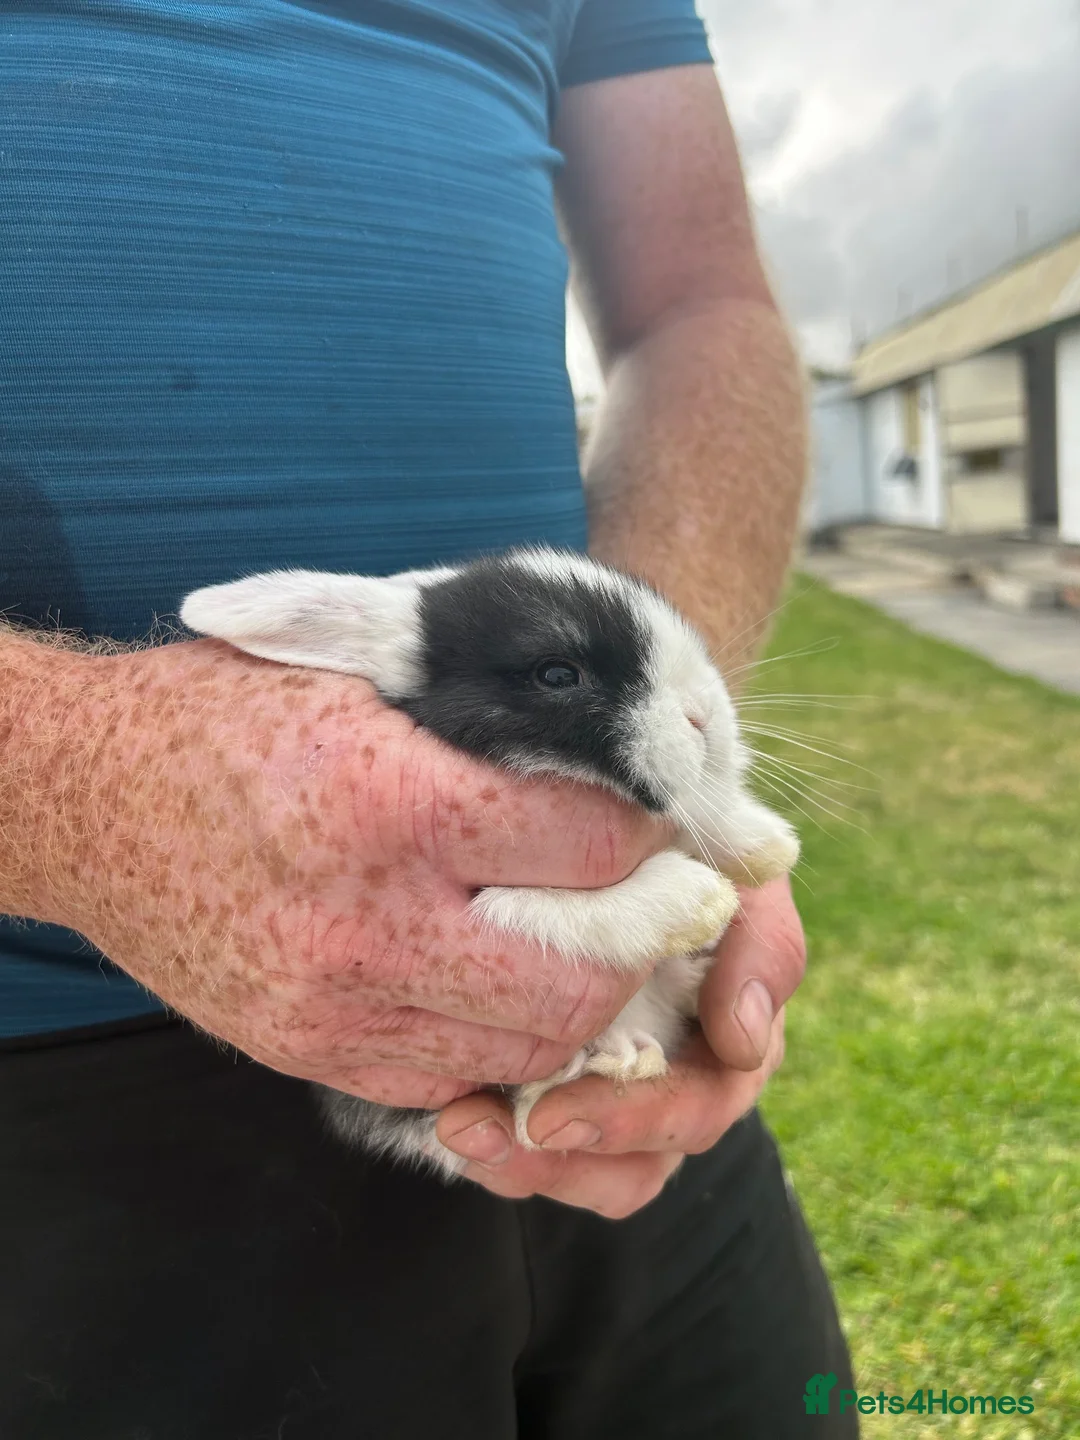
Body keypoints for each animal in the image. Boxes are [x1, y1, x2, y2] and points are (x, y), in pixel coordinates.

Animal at [180, 547, 798, 1179]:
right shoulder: (484, 906)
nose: (707, 718)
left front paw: (763, 845)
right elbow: (547, 910)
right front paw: (697, 899)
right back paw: (617, 1058)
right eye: (557, 675)